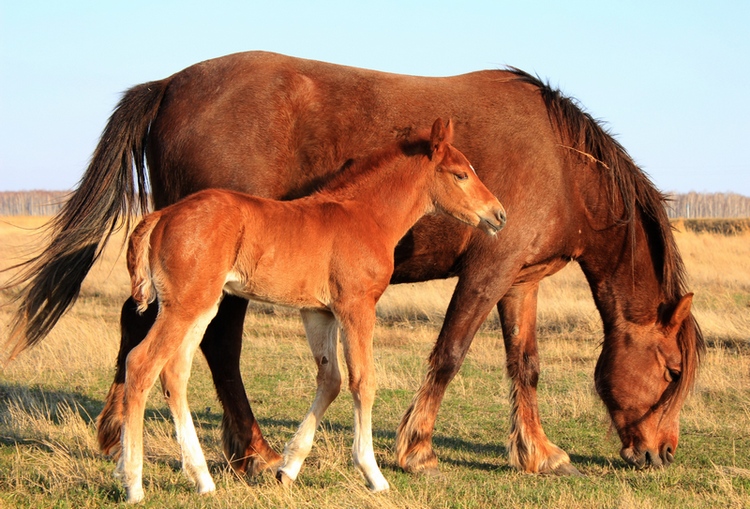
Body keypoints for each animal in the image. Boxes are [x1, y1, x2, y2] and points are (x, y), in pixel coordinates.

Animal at [116, 118, 506, 500]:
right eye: (460, 174)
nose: (499, 215)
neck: (366, 216)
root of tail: (162, 215)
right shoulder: (356, 306)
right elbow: (363, 381)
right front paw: (373, 473)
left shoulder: (319, 313)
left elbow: (331, 380)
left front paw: (288, 469)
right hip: (184, 306)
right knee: (141, 364)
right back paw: (133, 482)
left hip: (201, 306)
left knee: (174, 373)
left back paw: (202, 480)